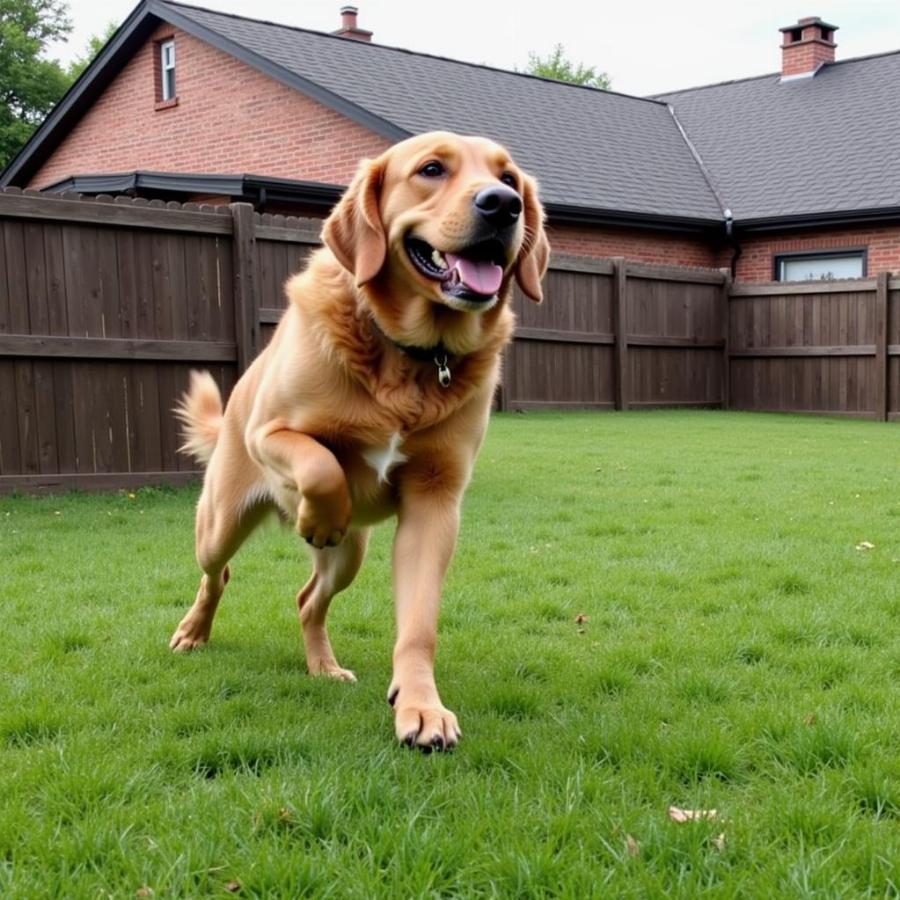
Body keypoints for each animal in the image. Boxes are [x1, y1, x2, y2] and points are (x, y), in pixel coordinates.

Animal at [169, 132, 548, 752]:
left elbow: (419, 625)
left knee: (307, 601)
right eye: (432, 169)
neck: (413, 356)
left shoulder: (435, 501)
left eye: (509, 178)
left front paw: (420, 705)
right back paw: (194, 631)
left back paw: (322, 665)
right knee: (216, 573)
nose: (503, 205)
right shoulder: (268, 433)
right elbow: (321, 461)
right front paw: (318, 509)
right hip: (221, 520)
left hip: (350, 555)